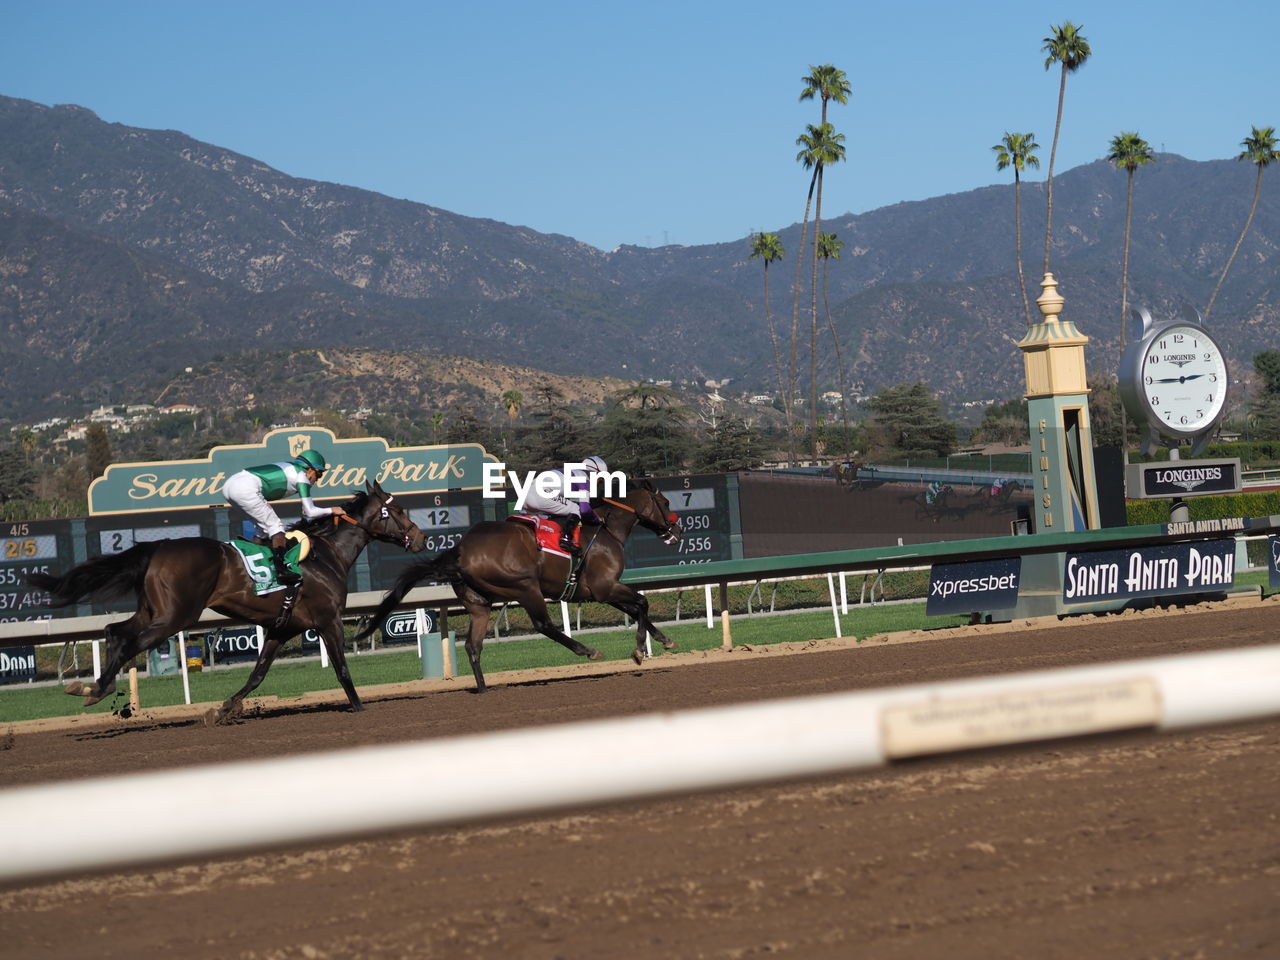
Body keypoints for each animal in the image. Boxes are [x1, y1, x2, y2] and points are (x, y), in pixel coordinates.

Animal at [27, 483, 424, 727]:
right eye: (399, 510)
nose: (419, 537)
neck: (325, 556)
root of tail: (158, 546)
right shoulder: (328, 621)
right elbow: (341, 669)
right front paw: (359, 706)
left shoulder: (281, 628)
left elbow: (257, 675)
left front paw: (222, 710)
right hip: (175, 616)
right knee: (128, 641)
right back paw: (95, 689)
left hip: (154, 610)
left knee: (114, 631)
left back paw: (95, 686)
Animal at [355, 478, 680, 691]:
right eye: (665, 502)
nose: (676, 530)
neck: (605, 529)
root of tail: (460, 551)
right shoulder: (604, 587)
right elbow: (642, 602)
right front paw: (639, 651)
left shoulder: (600, 590)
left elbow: (638, 608)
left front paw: (664, 640)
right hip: (525, 587)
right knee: (543, 625)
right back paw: (588, 651)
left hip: (478, 604)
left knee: (473, 645)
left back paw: (484, 689)